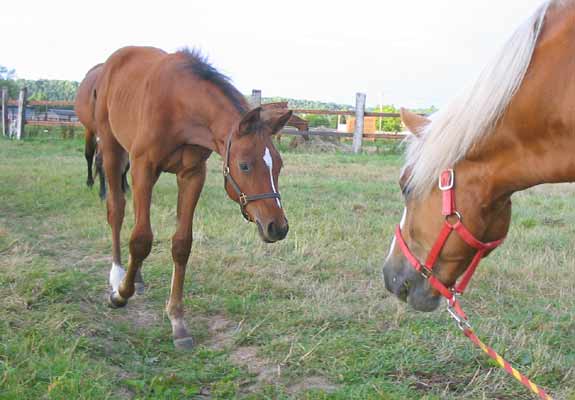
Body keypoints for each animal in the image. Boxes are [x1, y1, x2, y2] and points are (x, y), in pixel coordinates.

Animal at [75, 64, 129, 200]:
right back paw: (90, 182)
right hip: (90, 131)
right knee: (89, 156)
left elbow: (126, 164)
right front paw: (103, 192)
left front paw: (125, 186)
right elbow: (100, 161)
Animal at [96, 45, 292, 348]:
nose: (278, 227)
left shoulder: (192, 175)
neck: (179, 106)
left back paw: (135, 277)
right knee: (116, 209)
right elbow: (141, 240)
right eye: (244, 165)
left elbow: (181, 244)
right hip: (111, 149)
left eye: (279, 165)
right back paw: (117, 275)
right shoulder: (143, 168)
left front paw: (177, 321)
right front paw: (120, 295)